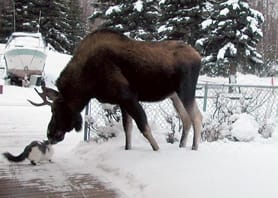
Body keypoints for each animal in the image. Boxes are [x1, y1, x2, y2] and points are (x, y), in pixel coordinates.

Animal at [29, 28, 201, 151]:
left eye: (55, 110)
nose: (50, 134)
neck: (87, 85)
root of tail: (199, 57)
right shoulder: (122, 102)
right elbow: (127, 129)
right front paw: (128, 148)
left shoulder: (128, 96)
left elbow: (143, 127)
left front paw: (157, 149)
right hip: (174, 95)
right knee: (186, 119)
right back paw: (182, 145)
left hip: (186, 90)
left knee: (197, 117)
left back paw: (194, 147)